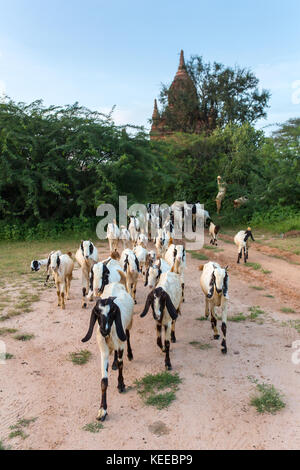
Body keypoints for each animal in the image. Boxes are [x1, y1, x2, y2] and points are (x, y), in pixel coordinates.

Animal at [81, 282, 134, 422]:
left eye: (112, 312)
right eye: (97, 313)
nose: (104, 330)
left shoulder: (120, 344)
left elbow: (121, 364)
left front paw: (121, 385)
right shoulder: (103, 352)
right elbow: (104, 381)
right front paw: (102, 411)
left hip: (128, 325)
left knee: (128, 335)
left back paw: (130, 355)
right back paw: (114, 363)